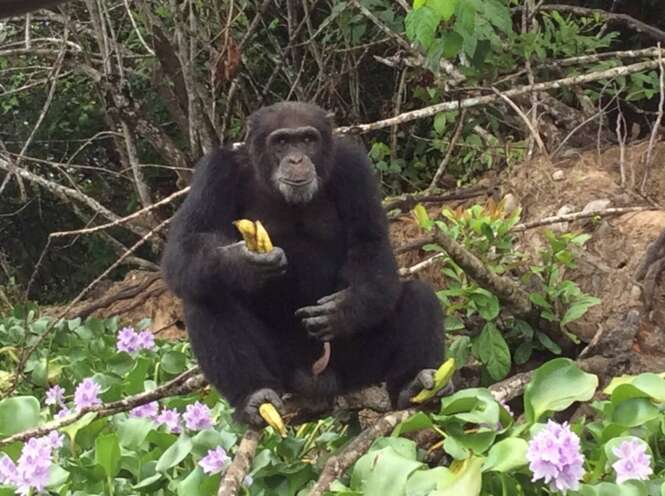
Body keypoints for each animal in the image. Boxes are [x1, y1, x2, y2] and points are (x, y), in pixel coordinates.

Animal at [160, 101, 446, 426]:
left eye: (308, 139)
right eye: (282, 142)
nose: (296, 159)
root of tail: (316, 383)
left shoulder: (354, 169)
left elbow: (371, 244)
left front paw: (343, 309)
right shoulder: (214, 173)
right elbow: (185, 245)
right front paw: (245, 262)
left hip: (353, 368)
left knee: (419, 295)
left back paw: (412, 386)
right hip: (284, 372)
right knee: (206, 298)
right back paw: (254, 396)